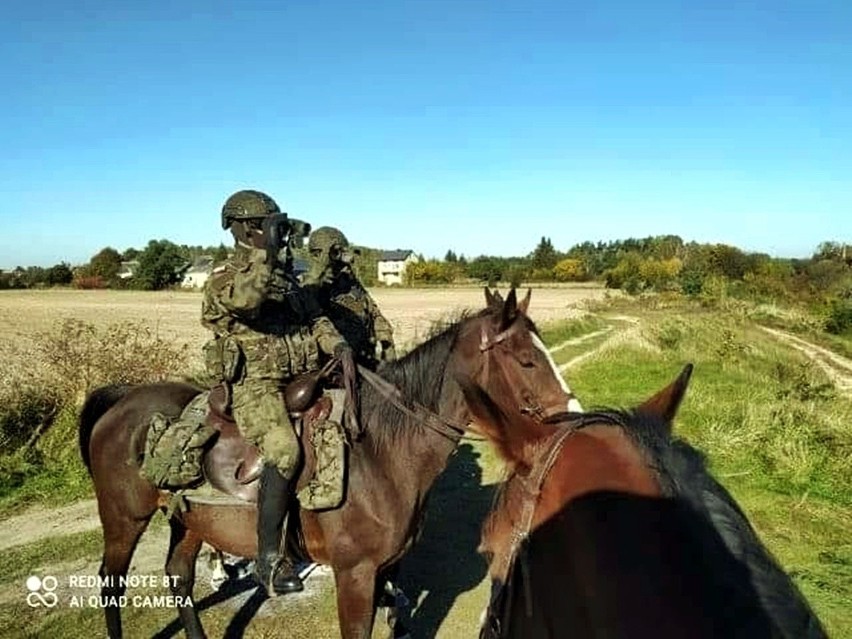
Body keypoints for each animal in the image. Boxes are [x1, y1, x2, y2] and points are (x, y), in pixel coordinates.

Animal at [78, 288, 580, 639]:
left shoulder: (385, 571)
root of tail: (122, 400)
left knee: (179, 577)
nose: (573, 417)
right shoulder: (354, 576)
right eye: (527, 360)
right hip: (125, 518)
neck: (381, 454)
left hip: (188, 521)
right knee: (111, 584)